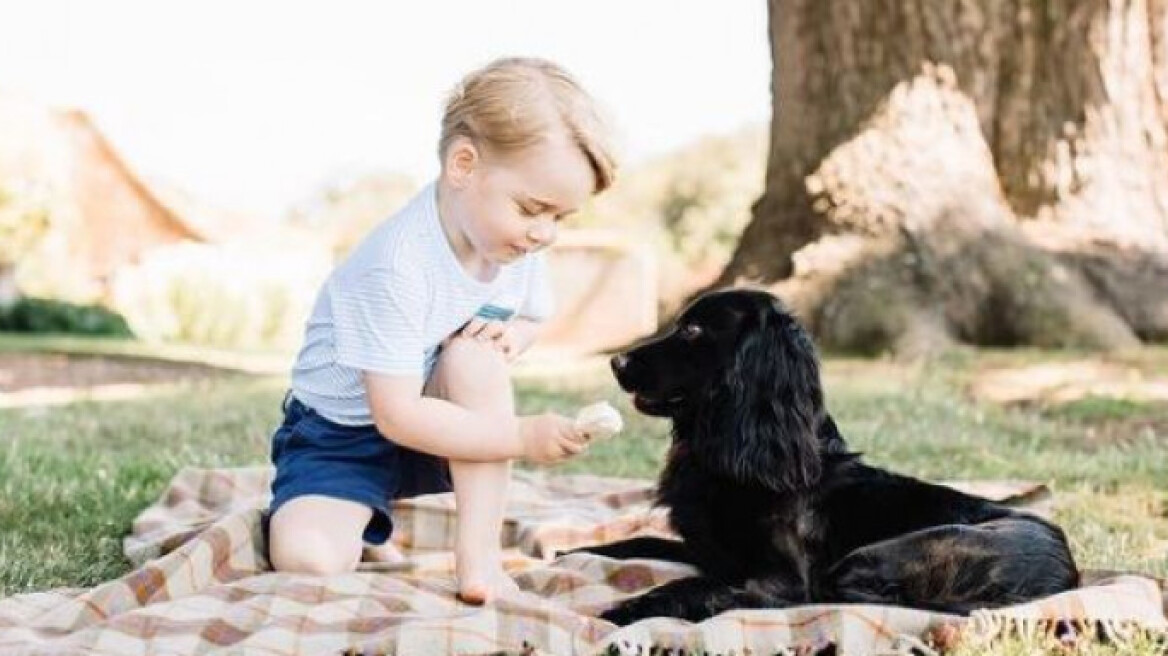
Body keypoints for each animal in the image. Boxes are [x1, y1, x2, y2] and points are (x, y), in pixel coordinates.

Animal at [584, 289, 1074, 620]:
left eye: (692, 330)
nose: (616, 362)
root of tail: (1066, 576)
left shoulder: (783, 579)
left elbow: (696, 584)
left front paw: (625, 610)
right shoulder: (707, 550)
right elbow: (636, 542)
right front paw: (578, 552)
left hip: (876, 556)